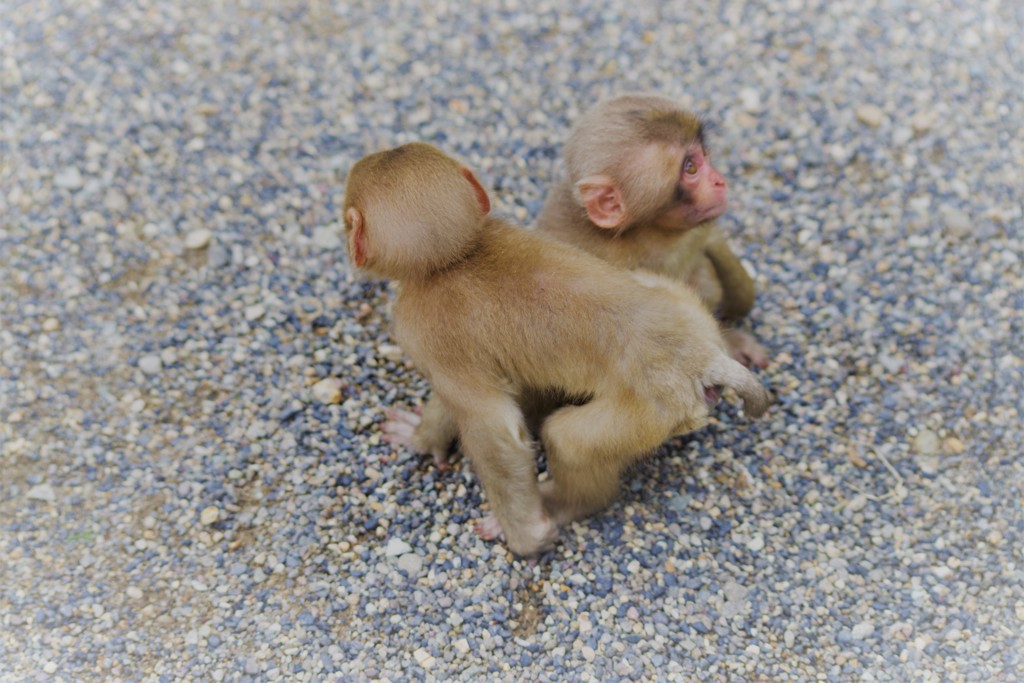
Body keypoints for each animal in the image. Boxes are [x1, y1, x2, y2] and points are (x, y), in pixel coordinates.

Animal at [344, 143, 770, 557]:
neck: (454, 259)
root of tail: (705, 357)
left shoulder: (419, 330)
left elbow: (494, 431)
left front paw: (526, 537)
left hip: (656, 411)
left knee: (568, 440)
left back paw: (563, 504)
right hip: (686, 308)